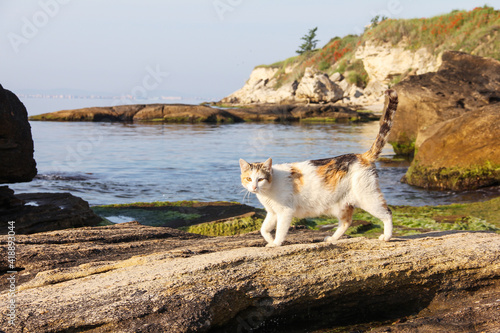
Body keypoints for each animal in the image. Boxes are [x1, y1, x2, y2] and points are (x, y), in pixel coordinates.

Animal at [238, 88, 398, 246]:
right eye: (248, 179)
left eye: (260, 179)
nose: (254, 187)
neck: (267, 191)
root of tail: (362, 156)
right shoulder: (272, 212)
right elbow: (263, 229)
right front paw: (270, 240)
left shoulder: (284, 211)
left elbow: (280, 230)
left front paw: (276, 243)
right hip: (342, 205)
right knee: (346, 222)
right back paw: (332, 239)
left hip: (367, 197)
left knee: (387, 213)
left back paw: (387, 236)